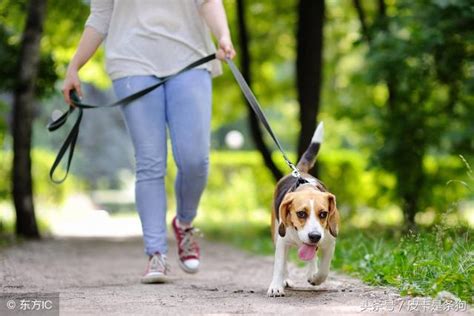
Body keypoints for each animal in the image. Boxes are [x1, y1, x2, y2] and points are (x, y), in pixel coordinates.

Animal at [266, 122, 340, 298]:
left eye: (323, 214)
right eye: (301, 213)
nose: (314, 236)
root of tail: (300, 172)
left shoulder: (329, 242)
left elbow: (324, 269)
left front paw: (315, 278)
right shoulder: (282, 241)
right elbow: (279, 265)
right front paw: (276, 286)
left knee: (313, 258)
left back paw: (312, 272)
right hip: (277, 233)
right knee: (285, 262)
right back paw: (285, 280)